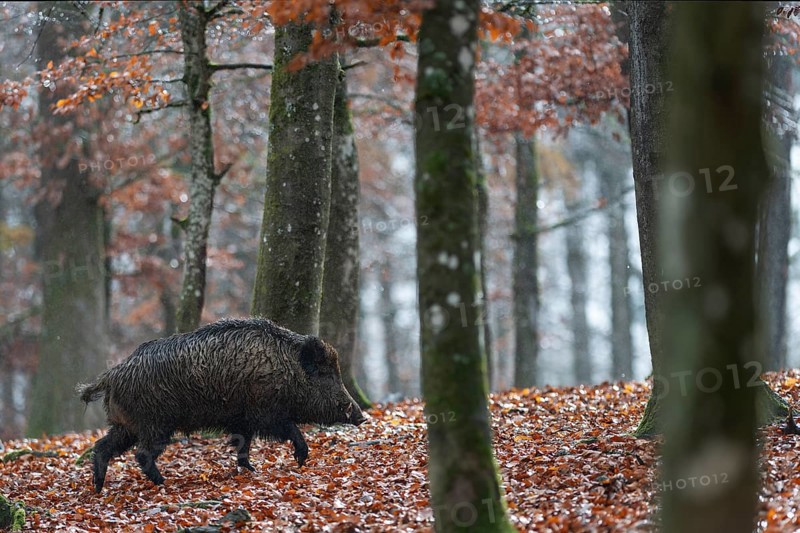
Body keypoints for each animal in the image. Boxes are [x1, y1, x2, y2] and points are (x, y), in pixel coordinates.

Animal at [77, 318, 367, 492]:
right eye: (326, 374)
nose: (361, 416)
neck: (287, 370)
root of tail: (111, 376)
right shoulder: (266, 413)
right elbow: (290, 431)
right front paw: (302, 459)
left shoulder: (242, 419)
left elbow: (243, 444)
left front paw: (250, 470)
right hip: (155, 425)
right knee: (141, 454)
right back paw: (163, 482)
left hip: (126, 426)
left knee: (102, 447)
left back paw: (98, 487)